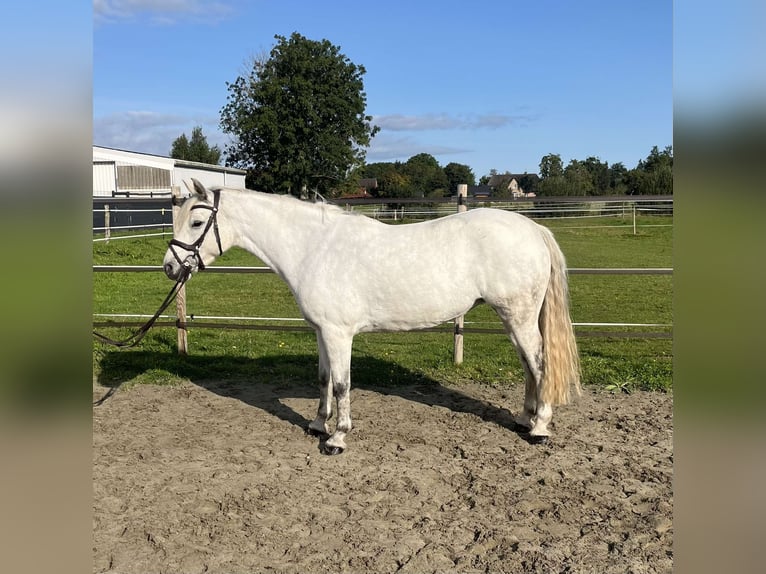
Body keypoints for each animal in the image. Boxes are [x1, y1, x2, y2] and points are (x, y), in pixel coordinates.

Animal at [164, 178, 584, 456]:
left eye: (197, 223)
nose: (170, 267)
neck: (313, 247)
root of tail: (532, 228)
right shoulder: (322, 332)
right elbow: (323, 380)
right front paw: (317, 424)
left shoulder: (339, 334)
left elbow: (341, 385)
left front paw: (337, 438)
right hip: (514, 319)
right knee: (529, 366)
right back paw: (524, 418)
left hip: (520, 316)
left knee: (539, 364)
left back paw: (539, 428)